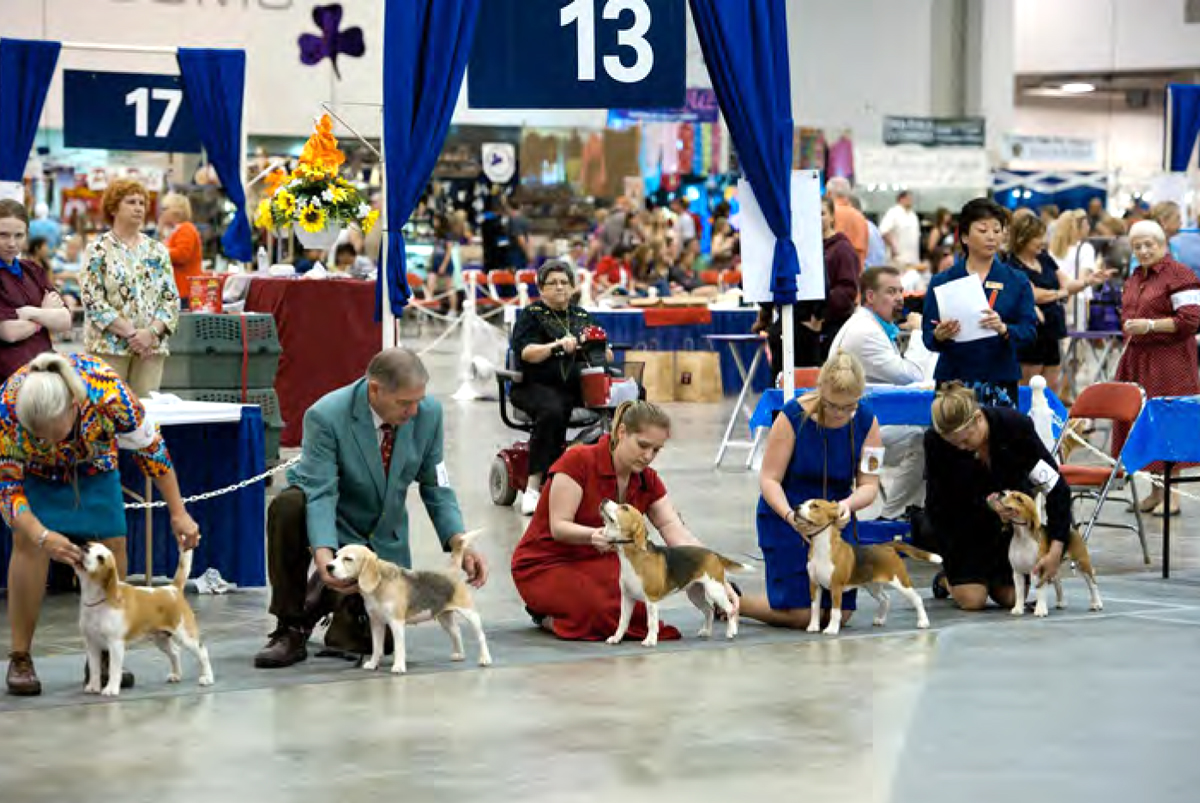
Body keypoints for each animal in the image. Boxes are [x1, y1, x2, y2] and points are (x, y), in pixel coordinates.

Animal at [74, 544, 213, 696]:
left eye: (101, 558)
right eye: (90, 545)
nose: (84, 548)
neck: (98, 598)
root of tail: (173, 589)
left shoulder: (115, 644)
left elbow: (114, 670)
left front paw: (111, 689)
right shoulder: (92, 644)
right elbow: (94, 668)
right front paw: (93, 687)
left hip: (186, 636)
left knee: (203, 652)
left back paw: (207, 678)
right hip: (161, 639)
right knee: (175, 652)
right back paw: (176, 675)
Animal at [324, 532, 492, 676]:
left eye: (348, 559)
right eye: (336, 556)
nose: (328, 566)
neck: (380, 584)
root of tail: (451, 572)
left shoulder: (396, 622)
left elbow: (399, 647)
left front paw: (398, 667)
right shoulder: (376, 623)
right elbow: (376, 647)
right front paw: (372, 664)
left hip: (470, 613)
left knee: (481, 636)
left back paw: (485, 659)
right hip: (444, 617)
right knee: (456, 631)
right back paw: (459, 654)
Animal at [600, 501, 748, 643]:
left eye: (624, 508)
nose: (604, 500)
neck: (634, 554)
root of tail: (713, 553)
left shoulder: (651, 600)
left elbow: (652, 623)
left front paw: (650, 640)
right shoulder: (627, 598)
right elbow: (622, 622)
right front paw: (616, 638)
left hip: (715, 590)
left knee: (730, 609)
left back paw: (731, 632)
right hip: (695, 594)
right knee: (709, 610)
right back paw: (706, 631)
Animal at [796, 496, 945, 633]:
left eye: (815, 506)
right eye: (803, 503)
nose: (797, 507)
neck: (821, 546)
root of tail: (887, 546)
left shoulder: (836, 586)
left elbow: (835, 611)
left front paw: (831, 629)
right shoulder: (814, 584)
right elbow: (814, 608)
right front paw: (813, 627)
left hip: (900, 582)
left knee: (917, 598)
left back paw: (923, 622)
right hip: (872, 586)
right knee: (886, 599)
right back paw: (880, 619)